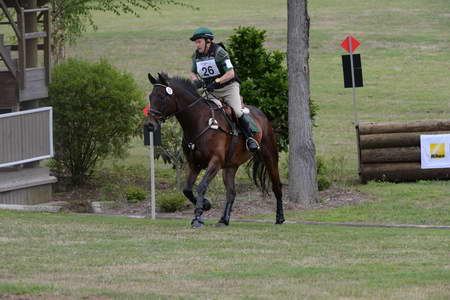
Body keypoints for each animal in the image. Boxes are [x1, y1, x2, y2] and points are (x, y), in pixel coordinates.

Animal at [148, 72, 284, 227]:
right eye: (150, 97)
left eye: (162, 97)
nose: (150, 125)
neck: (198, 121)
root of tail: (261, 114)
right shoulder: (194, 164)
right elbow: (187, 190)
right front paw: (205, 205)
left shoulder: (215, 162)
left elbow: (201, 186)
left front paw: (198, 216)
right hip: (231, 166)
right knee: (231, 193)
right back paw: (223, 220)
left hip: (269, 155)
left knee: (276, 186)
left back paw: (280, 218)